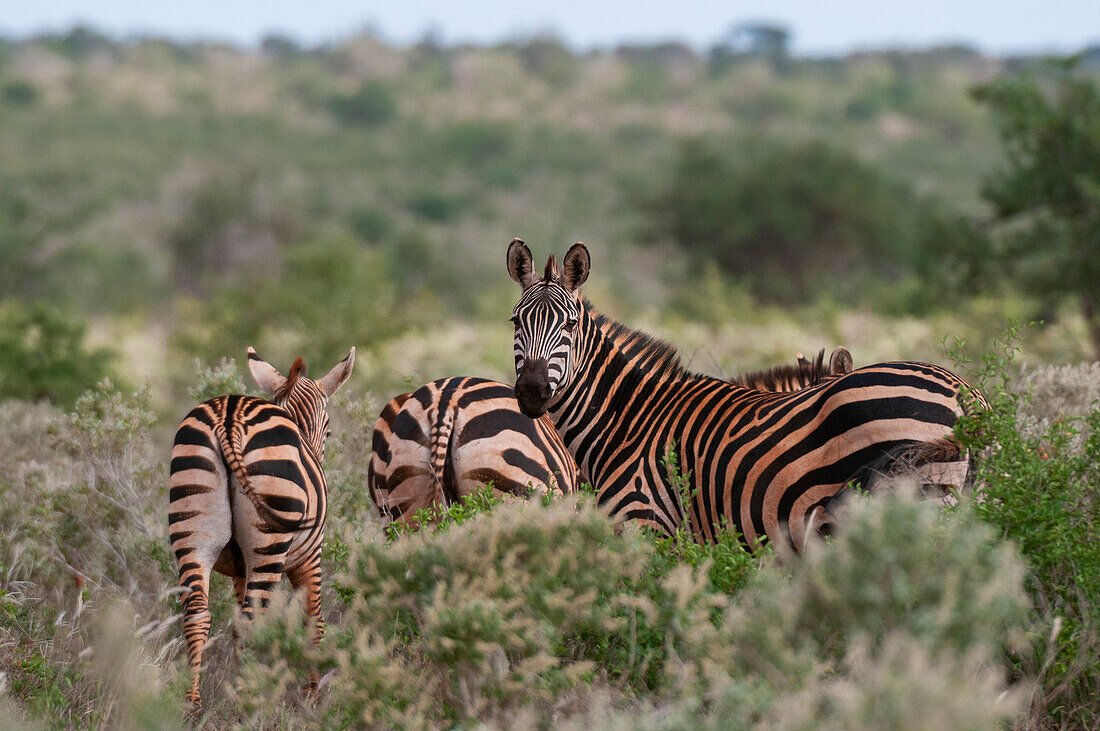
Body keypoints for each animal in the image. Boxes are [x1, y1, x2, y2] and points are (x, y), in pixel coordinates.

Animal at [167, 345, 352, 703]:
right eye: (328, 429)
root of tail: (229, 417)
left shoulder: (240, 568)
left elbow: (238, 628)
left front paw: (240, 680)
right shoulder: (311, 557)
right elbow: (314, 620)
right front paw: (313, 697)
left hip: (192, 530)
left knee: (198, 613)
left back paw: (193, 703)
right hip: (270, 543)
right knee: (255, 618)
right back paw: (253, 700)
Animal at [506, 236, 990, 549]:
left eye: (569, 325)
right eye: (515, 322)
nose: (530, 391)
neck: (628, 423)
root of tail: (965, 396)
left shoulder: (645, 524)